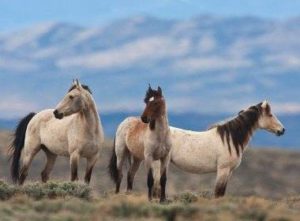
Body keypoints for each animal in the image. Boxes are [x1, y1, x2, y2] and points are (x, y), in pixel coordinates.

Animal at [152, 100, 286, 197]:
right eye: (270, 115)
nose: (282, 130)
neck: (230, 139)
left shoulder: (229, 171)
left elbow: (221, 193)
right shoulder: (223, 169)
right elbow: (218, 192)